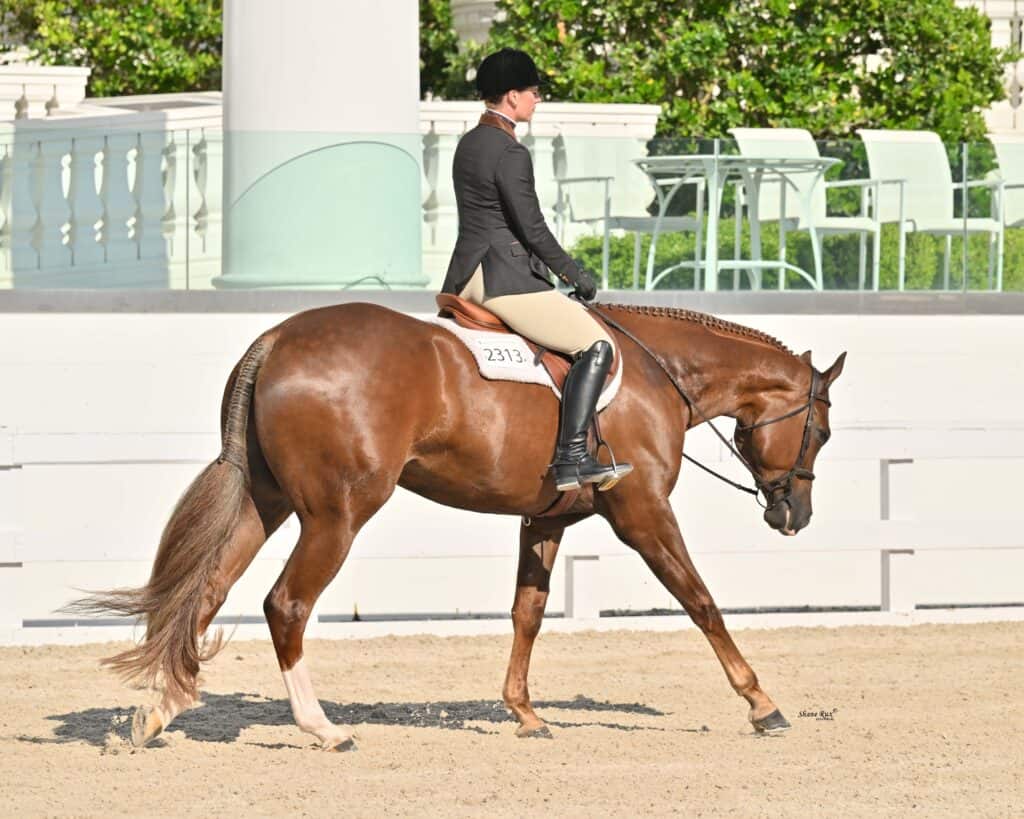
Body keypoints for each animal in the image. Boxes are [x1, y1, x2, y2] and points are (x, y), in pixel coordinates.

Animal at [72, 299, 845, 750]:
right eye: (822, 432)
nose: (795, 515)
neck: (661, 372)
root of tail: (276, 338)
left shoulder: (546, 517)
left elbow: (527, 612)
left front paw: (525, 713)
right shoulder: (643, 513)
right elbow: (702, 601)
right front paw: (763, 703)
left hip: (267, 502)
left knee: (206, 592)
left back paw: (159, 711)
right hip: (337, 514)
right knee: (285, 603)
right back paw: (322, 728)